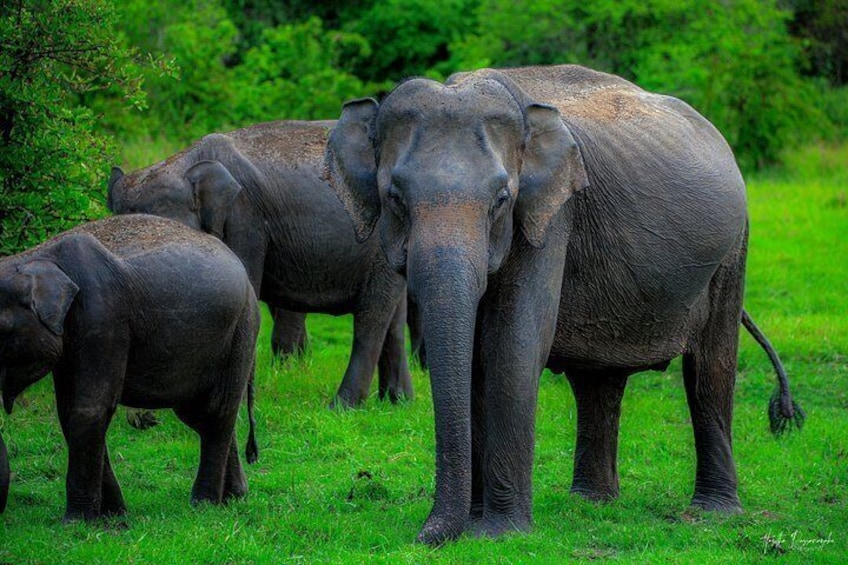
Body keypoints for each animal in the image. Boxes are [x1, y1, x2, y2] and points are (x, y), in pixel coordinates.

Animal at [0, 214, 260, 520]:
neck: (36, 254)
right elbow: (68, 411)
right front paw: (113, 516)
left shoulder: (104, 316)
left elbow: (89, 409)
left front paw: (76, 521)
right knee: (201, 415)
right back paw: (234, 497)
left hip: (240, 332)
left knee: (215, 413)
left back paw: (204, 504)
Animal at [107, 120, 413, 408]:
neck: (183, 161)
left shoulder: (245, 219)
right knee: (393, 320)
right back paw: (398, 401)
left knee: (372, 316)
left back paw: (343, 406)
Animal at [325, 64, 803, 544]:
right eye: (394, 199)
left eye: (501, 200)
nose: (422, 538)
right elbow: (478, 358)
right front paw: (477, 526)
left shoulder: (551, 216)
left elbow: (512, 346)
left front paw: (499, 534)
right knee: (598, 381)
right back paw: (592, 502)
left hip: (732, 250)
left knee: (710, 368)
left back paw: (713, 513)